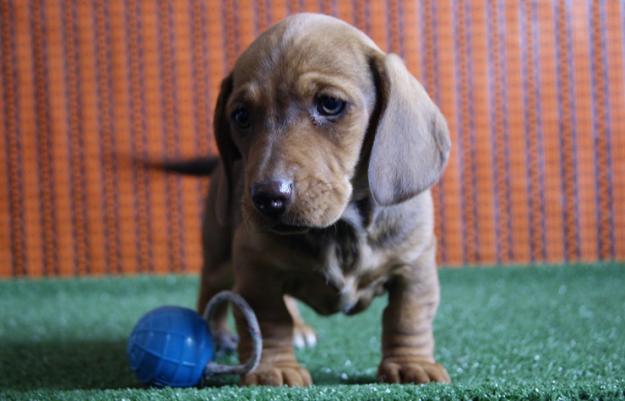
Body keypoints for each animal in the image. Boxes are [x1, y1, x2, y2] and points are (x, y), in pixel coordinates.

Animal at [195, 14, 448, 386]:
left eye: (330, 104)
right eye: (241, 116)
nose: (268, 198)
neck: (342, 228)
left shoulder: (414, 264)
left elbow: (408, 315)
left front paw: (410, 362)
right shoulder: (255, 267)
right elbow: (267, 320)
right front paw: (274, 367)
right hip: (220, 255)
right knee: (210, 290)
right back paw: (212, 333)